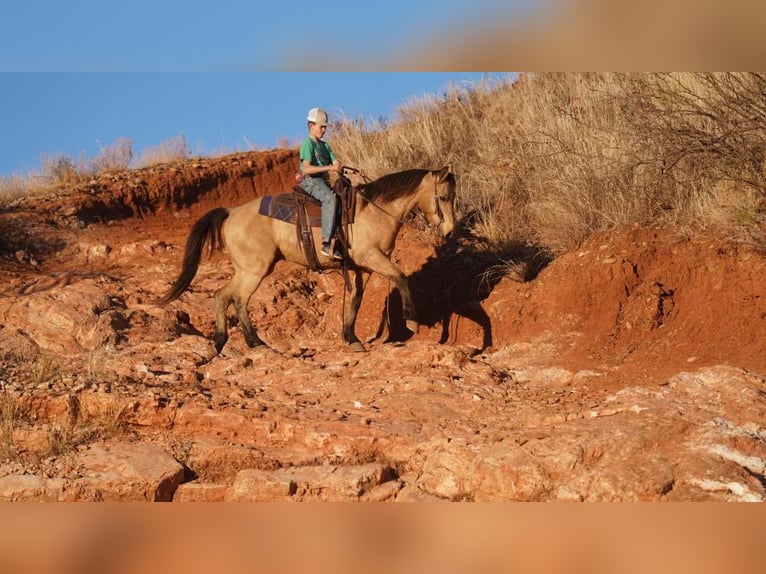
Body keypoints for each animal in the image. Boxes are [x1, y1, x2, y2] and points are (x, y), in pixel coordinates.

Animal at [161, 165, 456, 356]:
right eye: (443, 197)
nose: (450, 231)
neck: (374, 211)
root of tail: (231, 212)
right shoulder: (372, 258)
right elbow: (401, 277)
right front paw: (411, 321)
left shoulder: (362, 268)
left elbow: (355, 300)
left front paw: (351, 339)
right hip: (255, 270)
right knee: (239, 299)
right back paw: (256, 342)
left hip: (246, 269)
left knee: (222, 295)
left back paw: (220, 342)